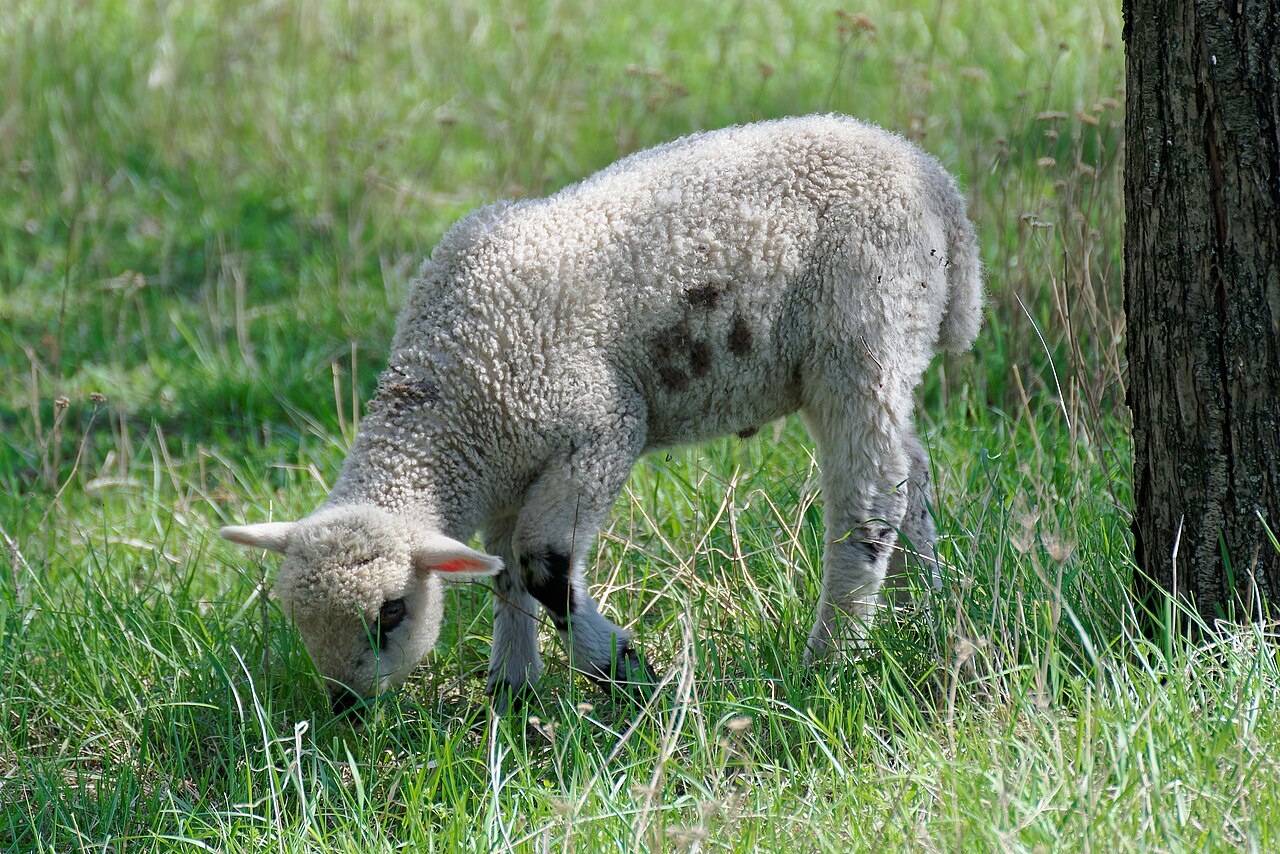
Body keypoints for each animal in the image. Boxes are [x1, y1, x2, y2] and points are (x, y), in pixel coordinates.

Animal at [220, 114, 983, 713]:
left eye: (391, 612)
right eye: (295, 618)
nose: (344, 707)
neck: (446, 404)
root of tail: (937, 185)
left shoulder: (600, 432)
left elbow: (540, 568)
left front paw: (627, 673)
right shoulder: (510, 471)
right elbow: (502, 573)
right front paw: (511, 690)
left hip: (860, 333)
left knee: (870, 493)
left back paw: (833, 655)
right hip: (882, 351)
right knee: (911, 471)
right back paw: (928, 608)